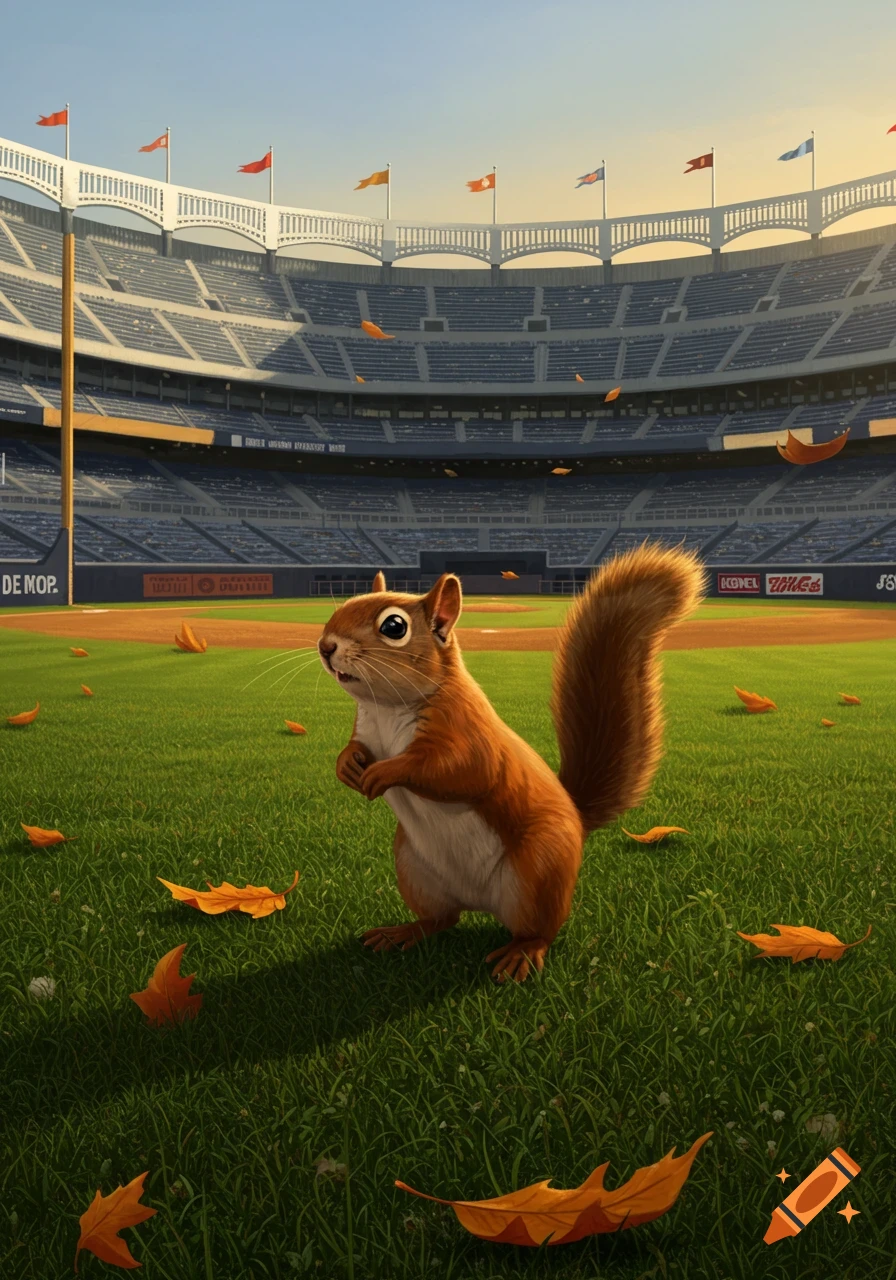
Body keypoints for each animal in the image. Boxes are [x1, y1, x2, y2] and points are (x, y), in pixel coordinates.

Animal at [317, 544, 704, 982]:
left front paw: (386, 771)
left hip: (539, 872)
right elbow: (355, 748)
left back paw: (521, 953)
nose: (325, 646)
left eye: (394, 626)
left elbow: (456, 772)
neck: (387, 708)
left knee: (537, 929)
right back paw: (403, 932)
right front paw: (346, 765)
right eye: (346, 602)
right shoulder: (367, 731)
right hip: (415, 872)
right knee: (441, 919)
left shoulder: (469, 736)